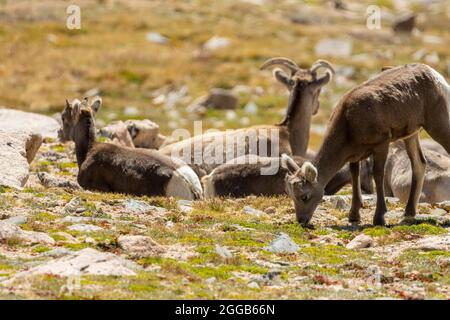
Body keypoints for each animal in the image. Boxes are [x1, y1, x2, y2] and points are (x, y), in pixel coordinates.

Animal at [282, 63, 450, 226]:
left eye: (305, 196)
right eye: (291, 195)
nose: (301, 221)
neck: (348, 122)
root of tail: (436, 77)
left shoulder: (381, 144)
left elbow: (378, 174)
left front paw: (379, 218)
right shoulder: (355, 154)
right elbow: (354, 175)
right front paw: (354, 216)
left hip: (436, 124)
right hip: (411, 134)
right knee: (419, 164)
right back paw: (408, 215)